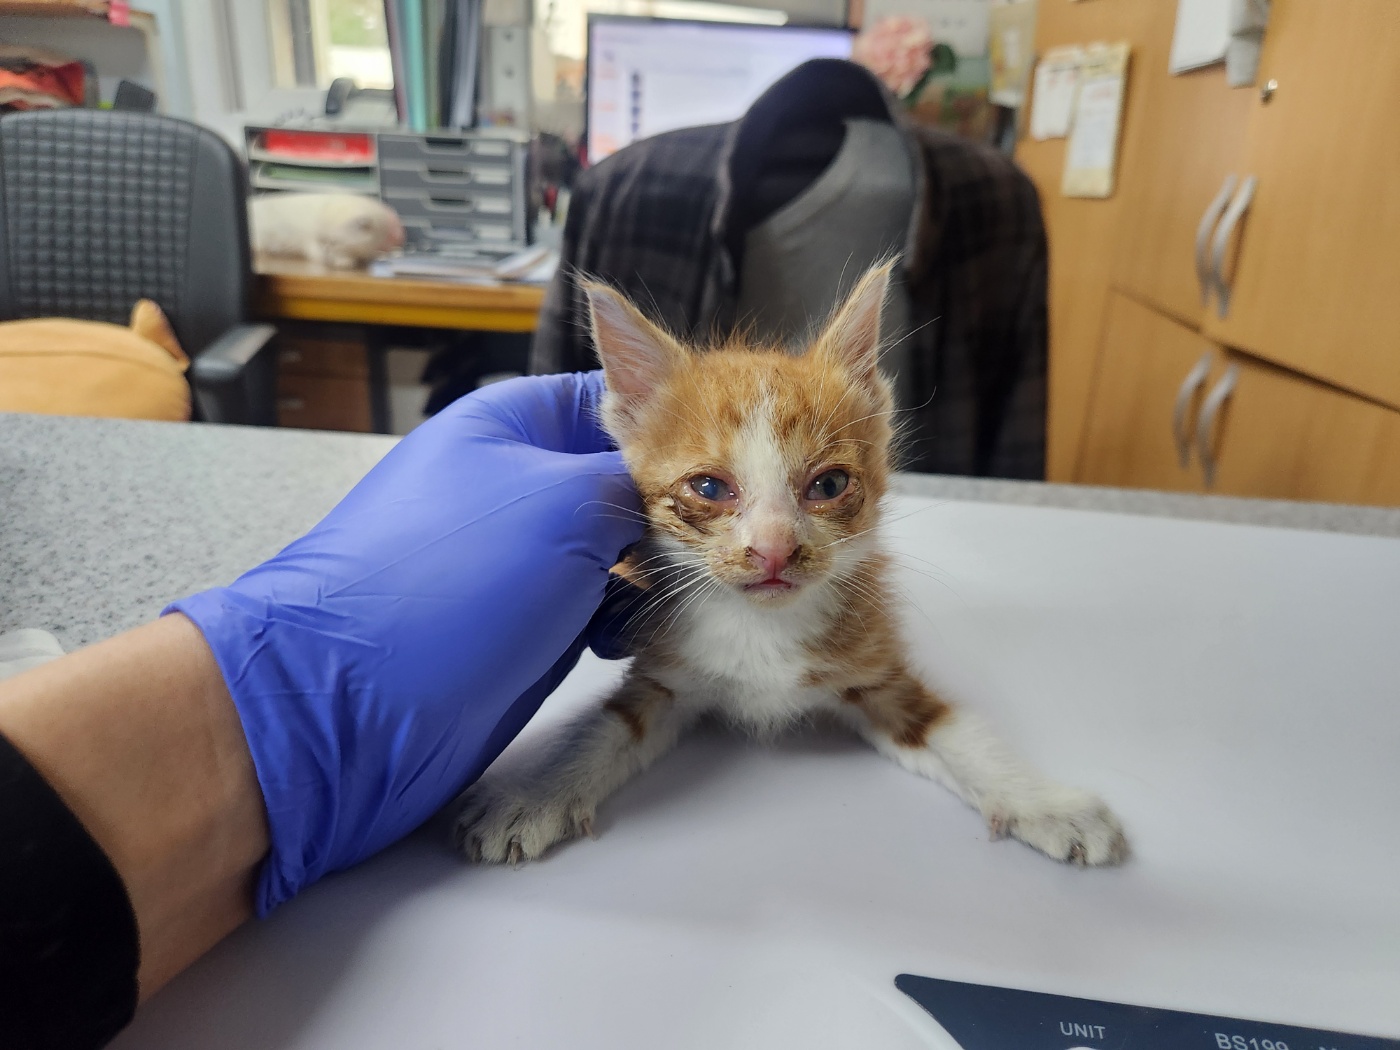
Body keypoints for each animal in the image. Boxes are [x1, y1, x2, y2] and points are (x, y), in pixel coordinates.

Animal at [453, 264, 1131, 873]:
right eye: (709, 487)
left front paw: (1045, 804)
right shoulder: (667, 677)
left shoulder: (875, 670)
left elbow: (959, 733)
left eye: (828, 485)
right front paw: (532, 794)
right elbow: (603, 731)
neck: (761, 630)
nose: (774, 549)